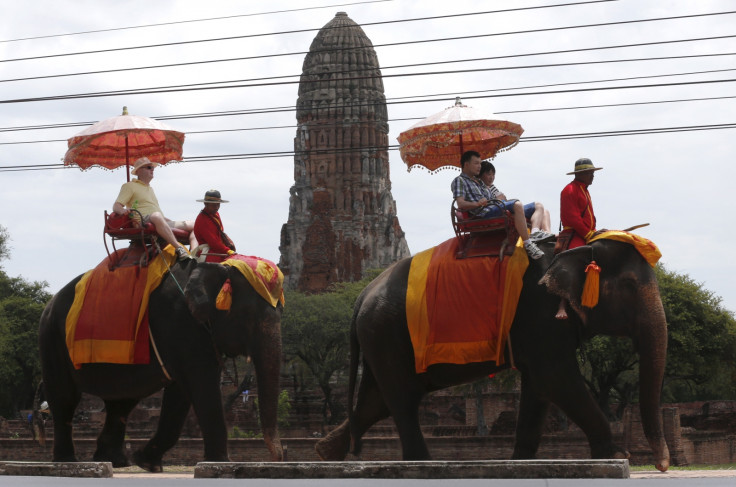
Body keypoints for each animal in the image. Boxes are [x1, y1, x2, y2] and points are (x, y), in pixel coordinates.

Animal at [37, 262, 286, 470]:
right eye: (247, 315)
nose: (279, 457)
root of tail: (49, 303)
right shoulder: (180, 324)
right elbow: (201, 386)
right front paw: (220, 463)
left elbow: (181, 393)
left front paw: (147, 463)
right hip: (51, 337)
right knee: (64, 397)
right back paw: (68, 461)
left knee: (122, 402)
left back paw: (115, 461)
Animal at [316, 240, 672, 472]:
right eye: (629, 286)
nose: (662, 466)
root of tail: (360, 297)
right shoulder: (541, 315)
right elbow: (555, 380)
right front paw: (611, 457)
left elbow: (539, 389)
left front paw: (520, 464)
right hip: (387, 335)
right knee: (401, 401)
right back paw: (422, 464)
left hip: (380, 340)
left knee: (376, 401)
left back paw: (324, 452)